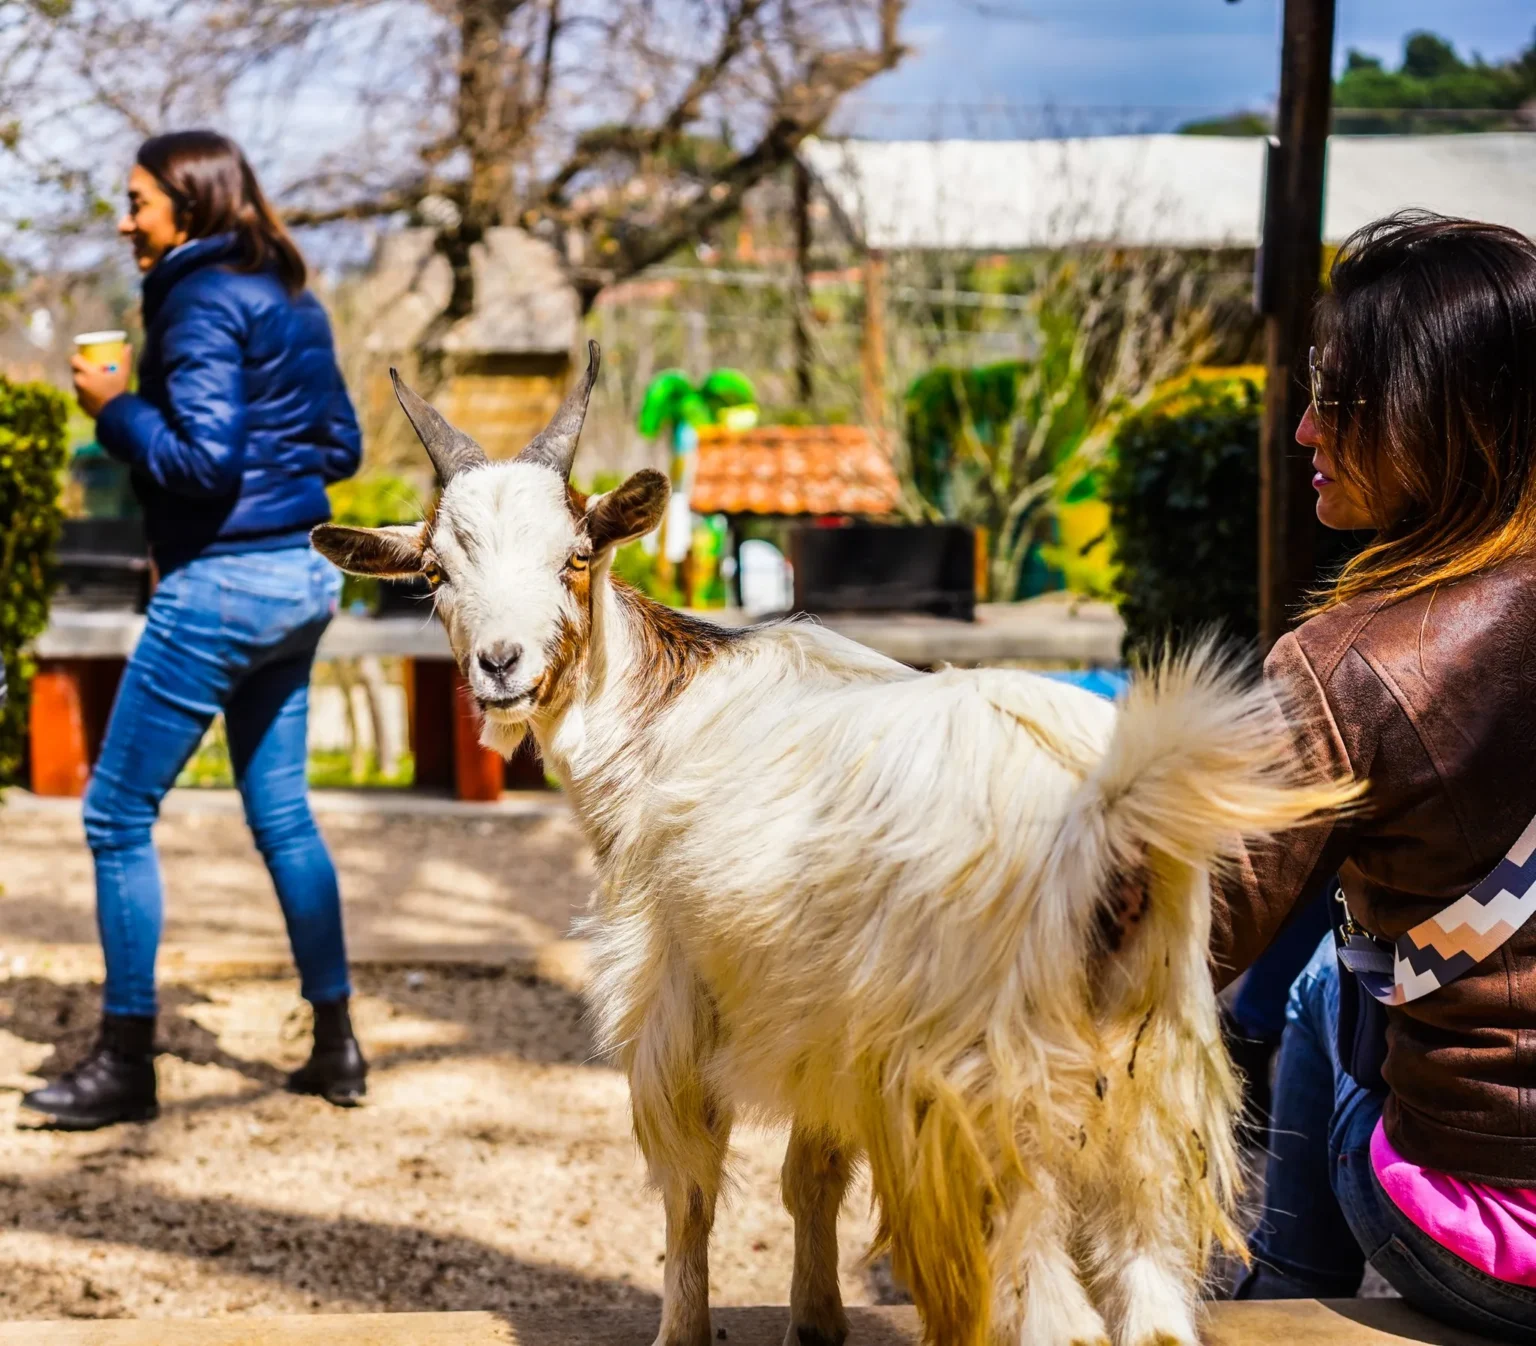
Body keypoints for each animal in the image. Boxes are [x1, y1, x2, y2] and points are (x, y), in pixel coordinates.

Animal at [314, 344, 1357, 1346]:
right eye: (436, 573)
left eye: (576, 555)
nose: (501, 665)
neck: (657, 720)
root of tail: (1109, 819)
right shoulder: (826, 1035)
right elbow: (809, 1175)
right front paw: (816, 1319)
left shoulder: (671, 1005)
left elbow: (691, 1191)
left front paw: (682, 1329)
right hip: (1152, 1090)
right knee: (1153, 1306)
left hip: (987, 1112)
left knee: (1056, 1320)